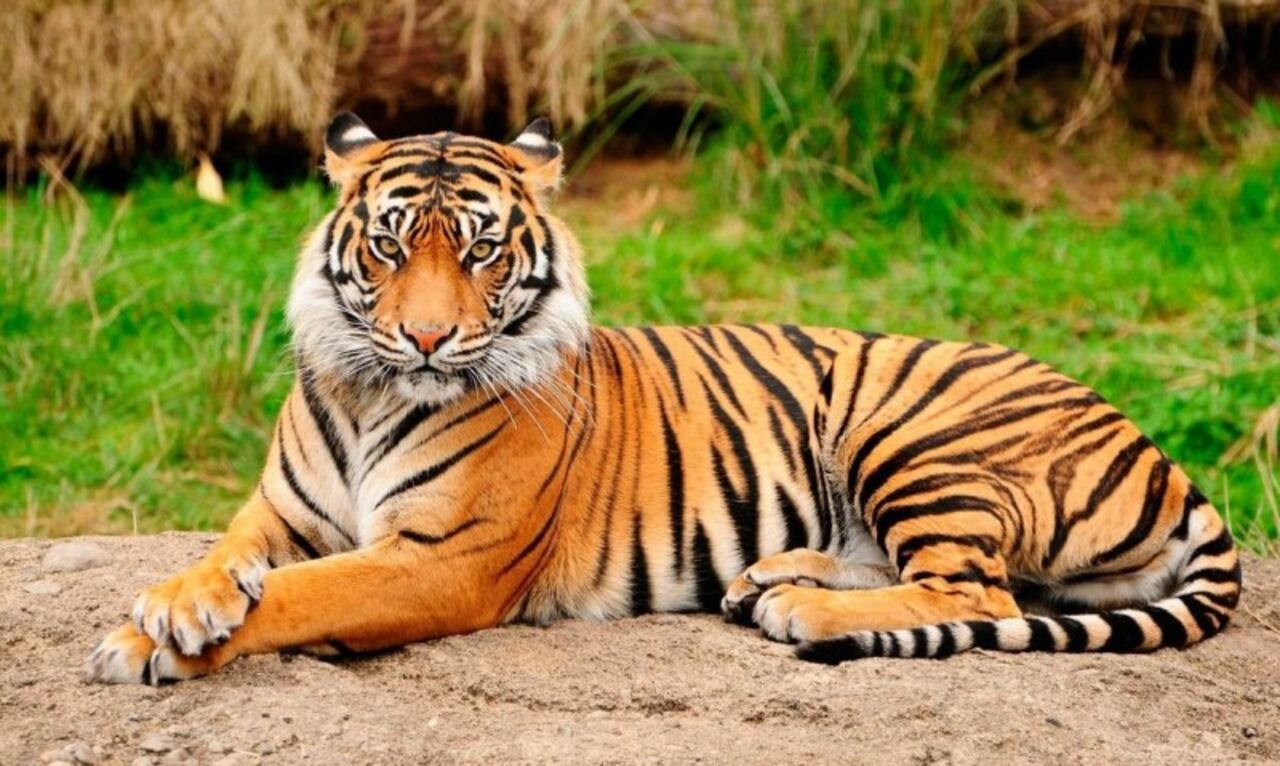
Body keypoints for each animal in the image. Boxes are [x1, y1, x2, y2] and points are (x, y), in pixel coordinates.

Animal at [87, 114, 1241, 684]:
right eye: (388, 245)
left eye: (480, 250)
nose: (425, 336)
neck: (375, 392)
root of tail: (1157, 449)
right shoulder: (278, 512)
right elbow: (230, 561)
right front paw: (173, 606)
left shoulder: (441, 559)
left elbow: (302, 596)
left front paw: (150, 644)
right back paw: (770, 577)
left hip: (910, 429)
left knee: (981, 594)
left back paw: (802, 607)